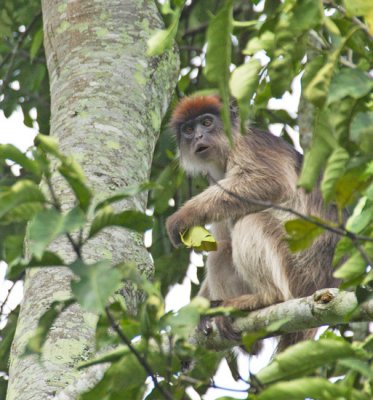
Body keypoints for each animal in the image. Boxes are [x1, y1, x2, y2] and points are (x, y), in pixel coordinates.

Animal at [166, 94, 340, 350]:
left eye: (207, 123)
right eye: (189, 129)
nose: (198, 137)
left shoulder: (249, 145)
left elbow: (271, 182)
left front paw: (183, 215)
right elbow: (222, 235)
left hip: (298, 272)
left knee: (250, 220)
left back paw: (266, 299)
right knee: (223, 248)